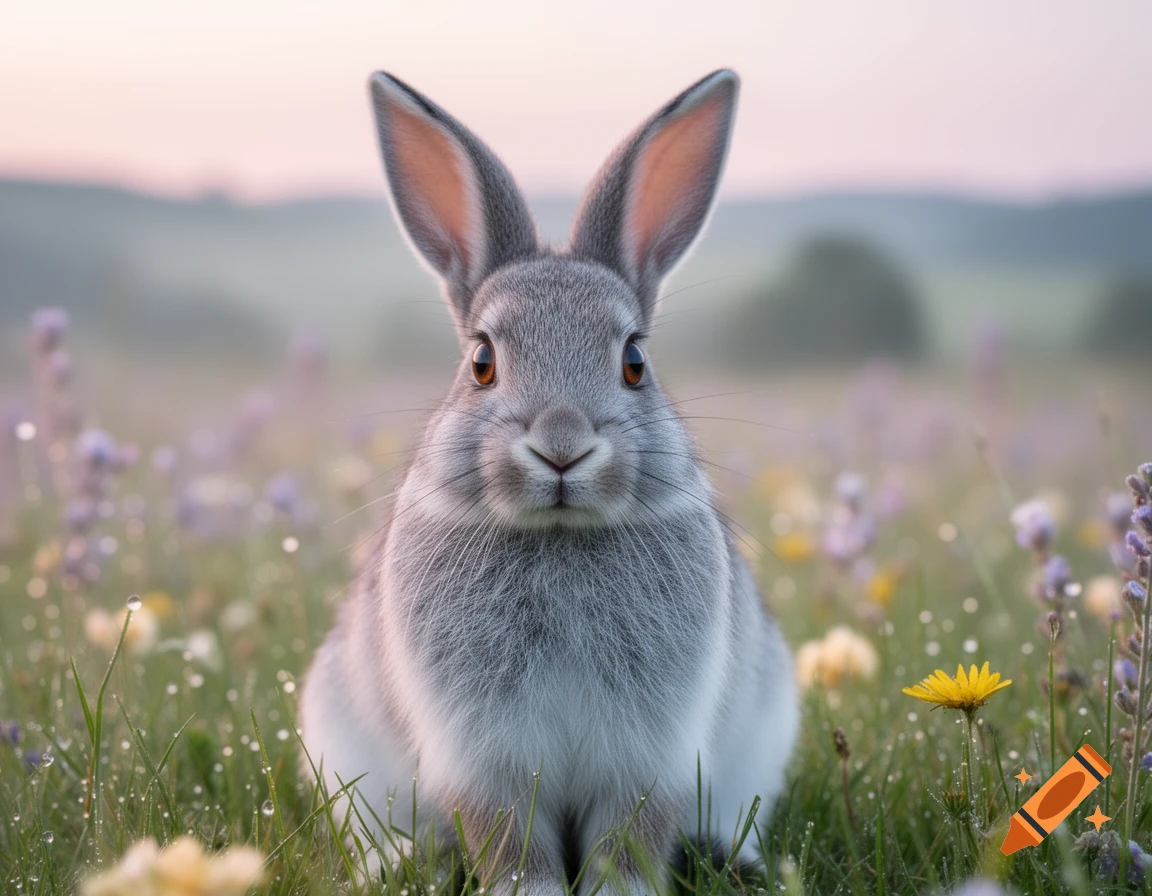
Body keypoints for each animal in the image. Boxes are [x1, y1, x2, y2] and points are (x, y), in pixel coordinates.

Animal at [299, 68, 798, 895]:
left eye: (634, 361)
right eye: (481, 361)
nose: (562, 447)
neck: (559, 534)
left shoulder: (649, 755)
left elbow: (628, 841)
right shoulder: (486, 759)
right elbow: (511, 843)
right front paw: (525, 891)